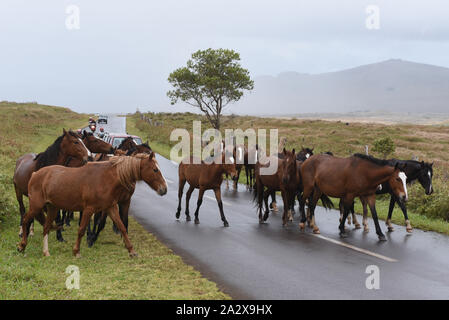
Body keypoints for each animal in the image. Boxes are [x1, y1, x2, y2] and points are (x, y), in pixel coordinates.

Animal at [16, 152, 168, 258]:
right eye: (155, 170)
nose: (164, 189)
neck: (105, 178)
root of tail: (35, 174)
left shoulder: (111, 208)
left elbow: (122, 227)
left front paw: (132, 251)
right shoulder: (89, 209)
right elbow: (82, 229)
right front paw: (76, 251)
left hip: (52, 207)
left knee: (46, 227)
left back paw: (45, 252)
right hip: (36, 206)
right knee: (26, 219)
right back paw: (22, 246)